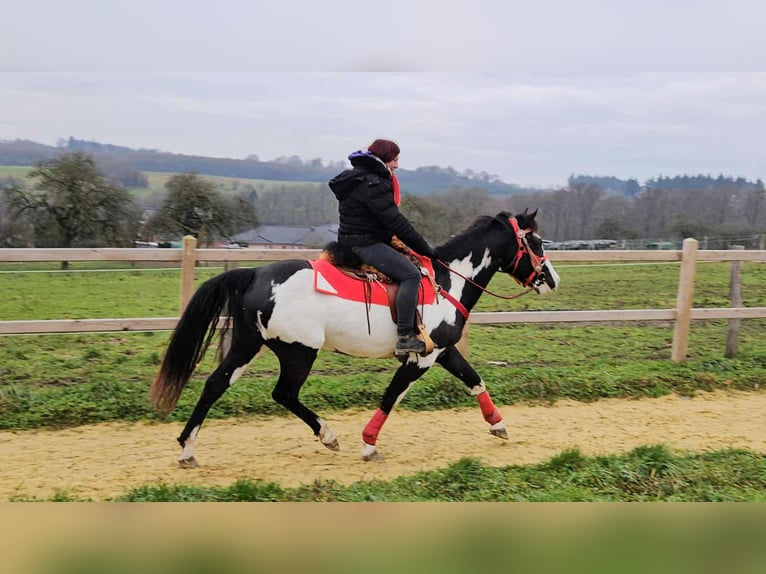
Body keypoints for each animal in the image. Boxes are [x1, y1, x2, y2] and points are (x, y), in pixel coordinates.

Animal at [149, 209, 560, 466]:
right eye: (537, 242)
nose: (552, 279)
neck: (447, 282)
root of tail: (255, 274)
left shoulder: (442, 351)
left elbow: (475, 380)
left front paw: (498, 424)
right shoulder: (422, 358)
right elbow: (392, 395)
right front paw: (368, 444)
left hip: (249, 345)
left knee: (215, 385)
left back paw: (187, 449)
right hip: (299, 353)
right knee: (283, 393)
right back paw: (328, 435)